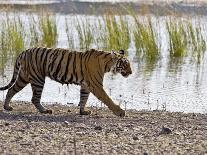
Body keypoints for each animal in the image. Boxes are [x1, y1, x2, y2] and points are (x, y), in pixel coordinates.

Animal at [0, 47, 132, 116]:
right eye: (125, 64)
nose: (131, 72)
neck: (106, 64)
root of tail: (24, 52)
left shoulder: (86, 85)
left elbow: (83, 98)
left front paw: (83, 111)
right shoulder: (96, 85)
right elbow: (107, 99)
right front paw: (120, 112)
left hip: (24, 77)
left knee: (11, 90)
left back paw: (7, 107)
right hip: (37, 79)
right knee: (34, 98)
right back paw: (45, 110)